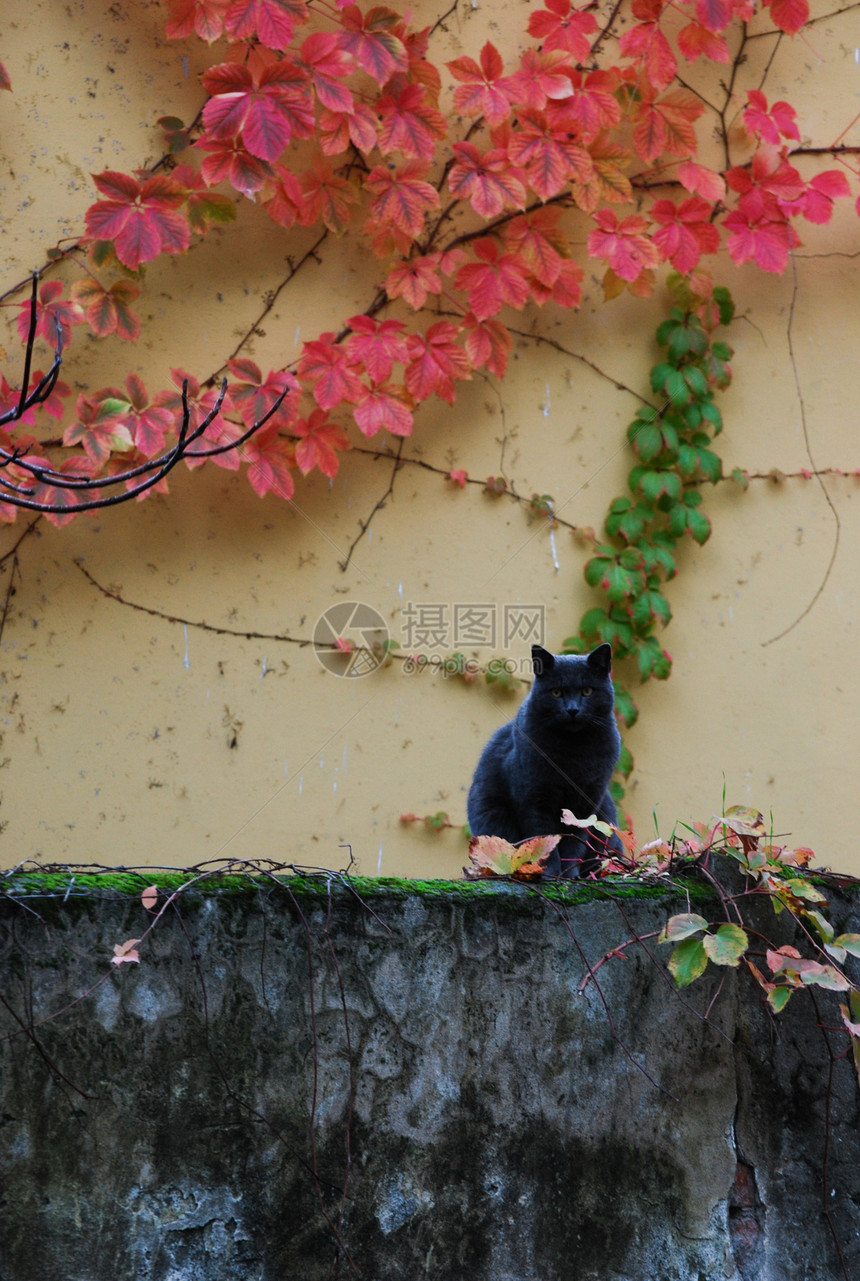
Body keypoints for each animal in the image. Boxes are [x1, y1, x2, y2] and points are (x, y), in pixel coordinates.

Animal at [466, 645, 622, 876]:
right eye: (556, 692)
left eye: (587, 691)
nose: (572, 709)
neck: (574, 750)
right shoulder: (535, 799)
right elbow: (544, 840)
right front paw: (550, 874)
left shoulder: (586, 803)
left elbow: (575, 843)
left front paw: (570, 875)